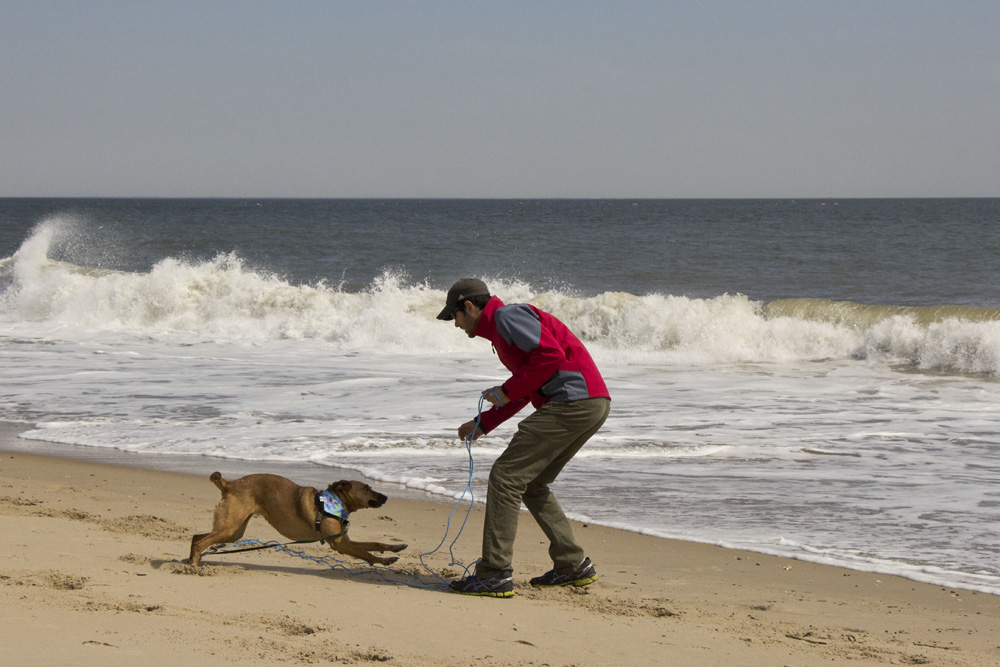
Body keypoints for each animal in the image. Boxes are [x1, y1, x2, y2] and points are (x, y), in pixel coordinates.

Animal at [188, 472, 406, 568]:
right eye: (367, 488)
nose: (385, 497)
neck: (335, 502)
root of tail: (229, 484)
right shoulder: (340, 544)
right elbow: (366, 553)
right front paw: (384, 560)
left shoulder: (345, 540)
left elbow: (374, 544)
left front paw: (395, 548)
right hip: (231, 527)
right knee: (200, 542)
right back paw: (196, 568)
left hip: (233, 530)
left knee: (196, 537)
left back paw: (190, 561)